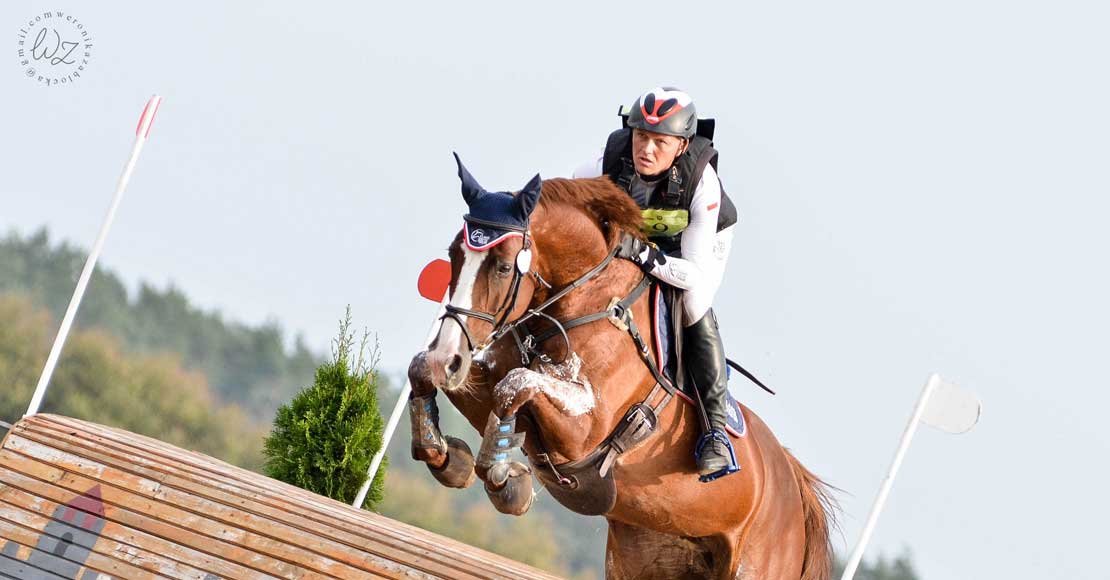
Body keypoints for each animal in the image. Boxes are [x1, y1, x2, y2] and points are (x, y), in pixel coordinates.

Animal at [406, 157, 835, 580]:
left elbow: (514, 386)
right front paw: (450, 459)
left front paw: (506, 481)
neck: (585, 299)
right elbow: (425, 369)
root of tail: (793, 482)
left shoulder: (584, 433)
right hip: (640, 556)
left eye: (502, 267)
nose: (449, 357)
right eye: (454, 254)